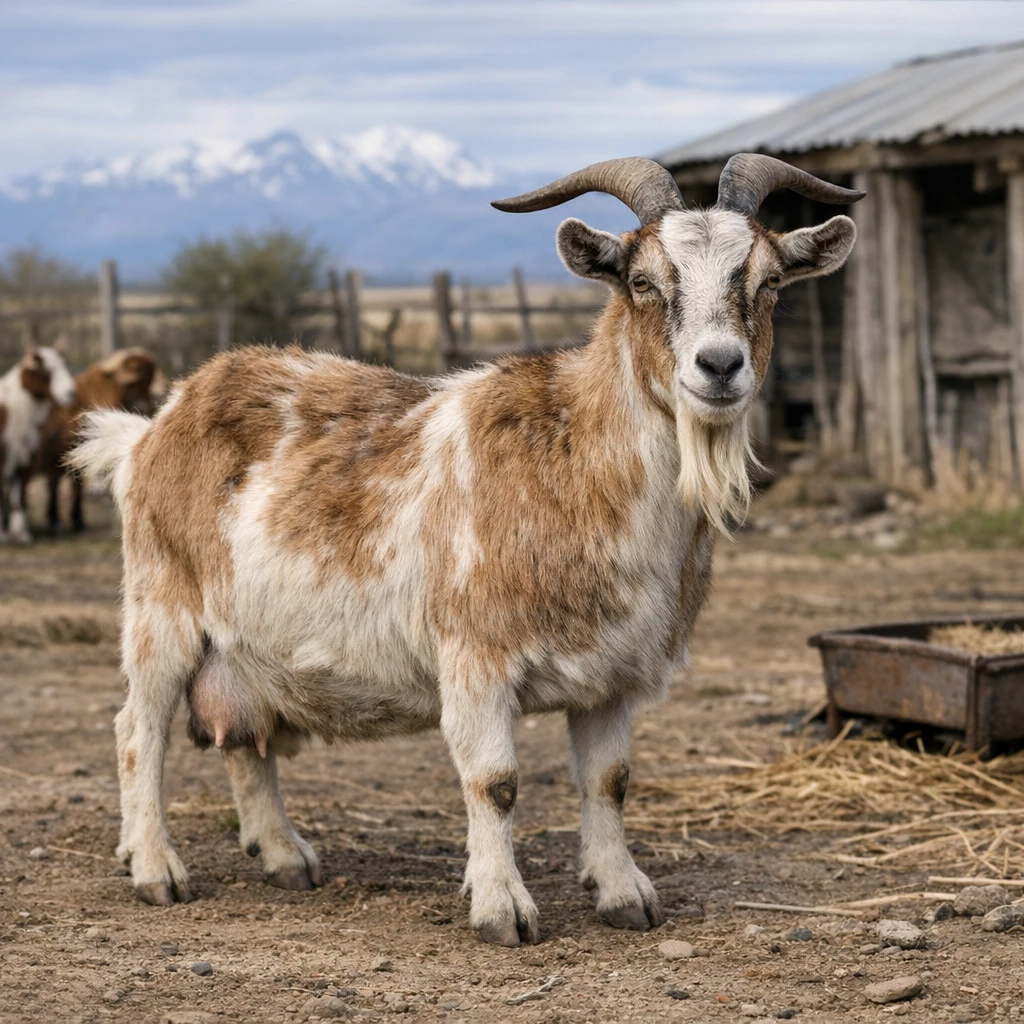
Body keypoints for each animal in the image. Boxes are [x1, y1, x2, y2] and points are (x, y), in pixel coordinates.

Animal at [0, 346, 76, 543]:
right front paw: (3, 534)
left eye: (64, 364)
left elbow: (19, 495)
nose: (71, 393)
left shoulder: (26, 455)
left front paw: (21, 534)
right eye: (46, 371)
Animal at [72, 154, 862, 946]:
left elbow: (608, 782)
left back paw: (284, 856)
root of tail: (154, 426)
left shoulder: (613, 674)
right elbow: (494, 782)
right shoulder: (476, 656)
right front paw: (501, 908)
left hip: (243, 648)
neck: (577, 461)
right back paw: (154, 868)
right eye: (642, 282)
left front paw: (623, 894)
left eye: (768, 282)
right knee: (136, 731)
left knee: (246, 741)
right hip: (160, 607)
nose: (720, 366)